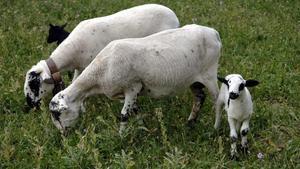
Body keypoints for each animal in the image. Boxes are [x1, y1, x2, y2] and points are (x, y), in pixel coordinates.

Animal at [24, 4, 179, 109]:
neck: (71, 51)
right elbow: (75, 81)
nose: (30, 105)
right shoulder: (80, 66)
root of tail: (173, 14)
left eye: (34, 85)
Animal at [49, 23, 221, 135]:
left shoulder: (132, 87)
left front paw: (121, 138)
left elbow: (124, 115)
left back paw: (215, 128)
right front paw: (143, 129)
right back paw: (190, 123)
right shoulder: (132, 92)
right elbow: (136, 111)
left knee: (217, 100)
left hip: (210, 73)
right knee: (199, 97)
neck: (99, 73)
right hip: (194, 79)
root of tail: (213, 32)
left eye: (57, 114)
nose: (63, 135)